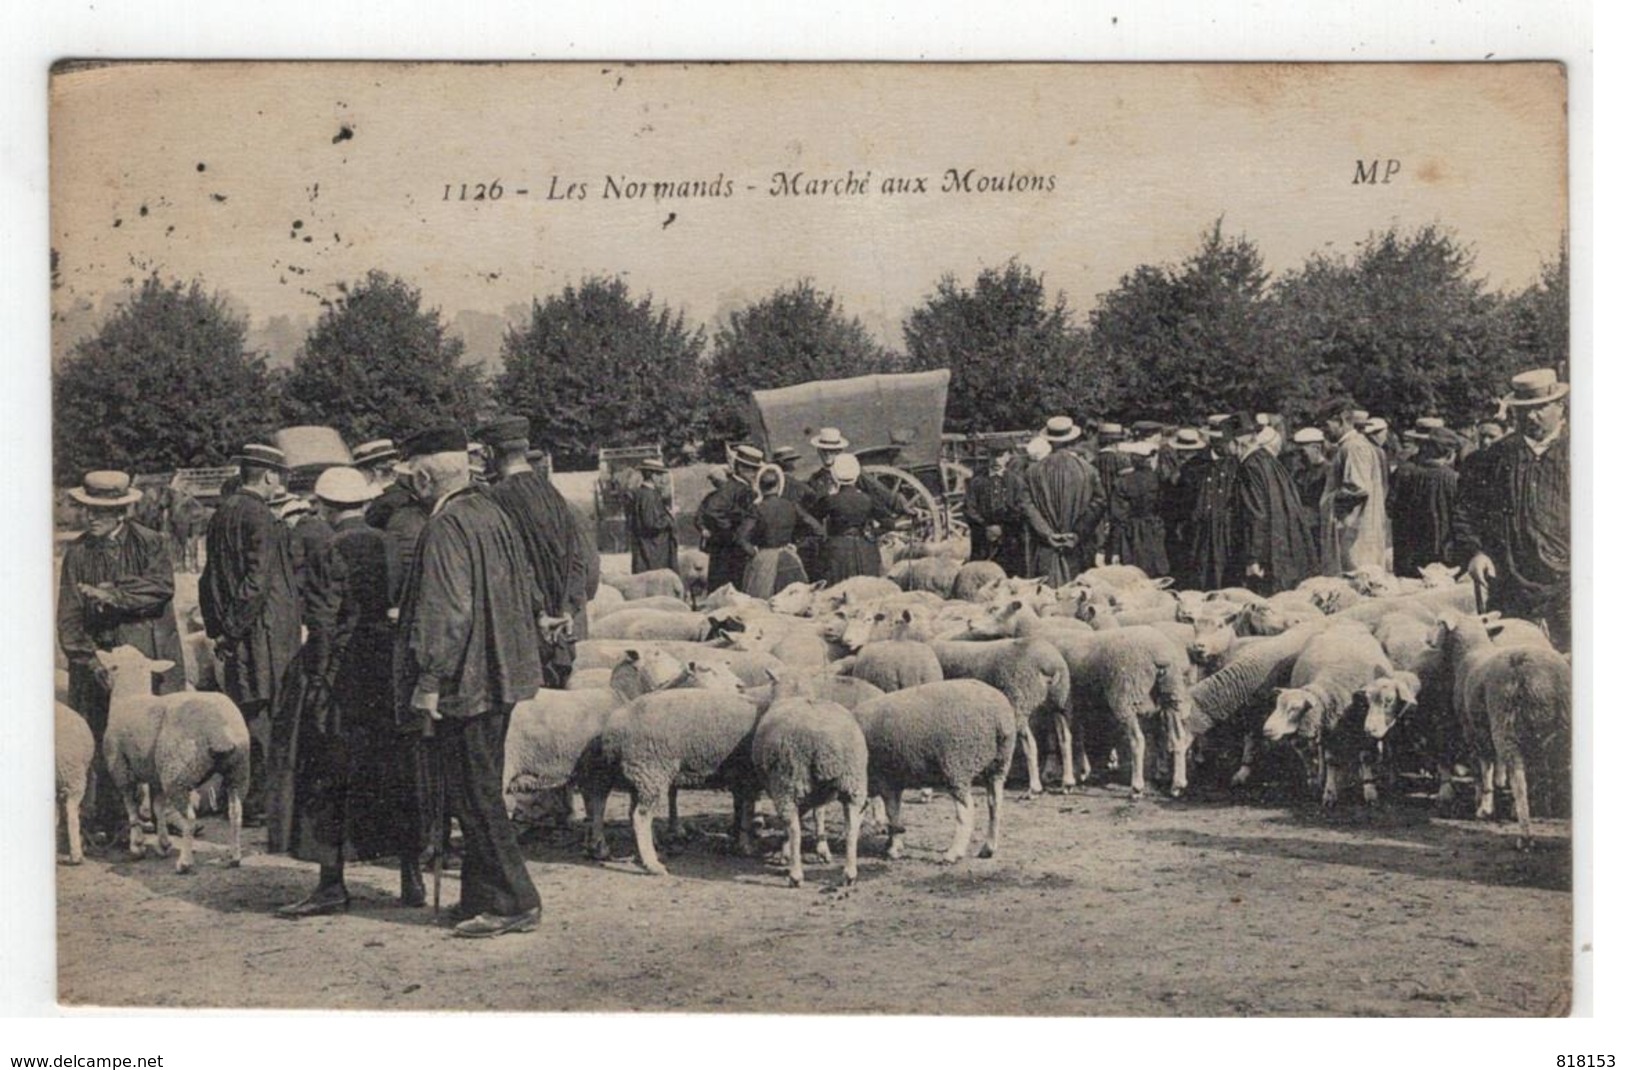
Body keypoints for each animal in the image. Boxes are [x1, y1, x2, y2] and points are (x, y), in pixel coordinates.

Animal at [93, 637, 247, 871]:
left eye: (112, 666)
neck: (130, 696)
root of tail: (220, 730)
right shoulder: (154, 772)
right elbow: (157, 807)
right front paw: (163, 844)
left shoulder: (120, 767)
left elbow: (131, 804)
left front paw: (137, 845)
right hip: (237, 770)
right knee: (235, 812)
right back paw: (235, 856)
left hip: (177, 772)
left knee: (190, 817)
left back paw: (184, 862)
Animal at [750, 692, 871, 884]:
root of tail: (822, 740)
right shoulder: (819, 792)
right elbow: (819, 813)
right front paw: (822, 850)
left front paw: (783, 853)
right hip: (853, 779)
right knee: (851, 826)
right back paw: (849, 873)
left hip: (788, 779)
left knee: (794, 827)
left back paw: (795, 874)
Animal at [851, 679, 1014, 865]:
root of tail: (999, 717)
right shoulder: (894, 781)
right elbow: (895, 813)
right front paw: (893, 844)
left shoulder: (886, 780)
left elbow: (891, 813)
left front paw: (893, 848)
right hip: (998, 765)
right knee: (995, 804)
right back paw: (989, 848)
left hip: (957, 764)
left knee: (966, 810)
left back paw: (954, 853)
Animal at [936, 634, 1072, 790]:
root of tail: (1049, 665)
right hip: (1059, 701)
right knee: (1065, 737)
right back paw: (1068, 781)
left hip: (1018, 701)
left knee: (1030, 743)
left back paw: (1034, 786)